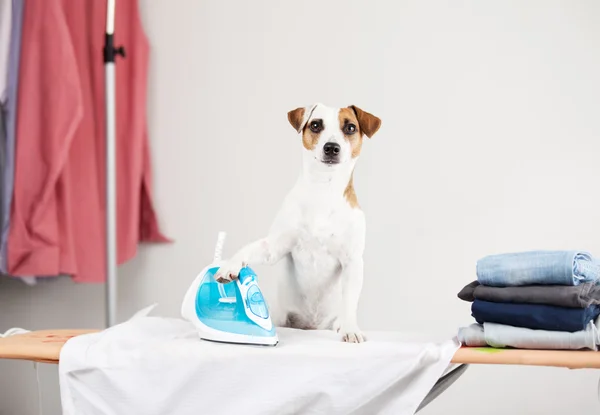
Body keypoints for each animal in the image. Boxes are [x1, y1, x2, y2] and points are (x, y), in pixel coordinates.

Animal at [216, 102, 382, 342]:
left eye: (350, 127)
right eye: (315, 125)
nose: (331, 147)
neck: (323, 190)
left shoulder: (352, 261)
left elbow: (350, 301)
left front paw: (351, 329)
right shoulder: (274, 247)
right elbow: (248, 249)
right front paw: (230, 265)